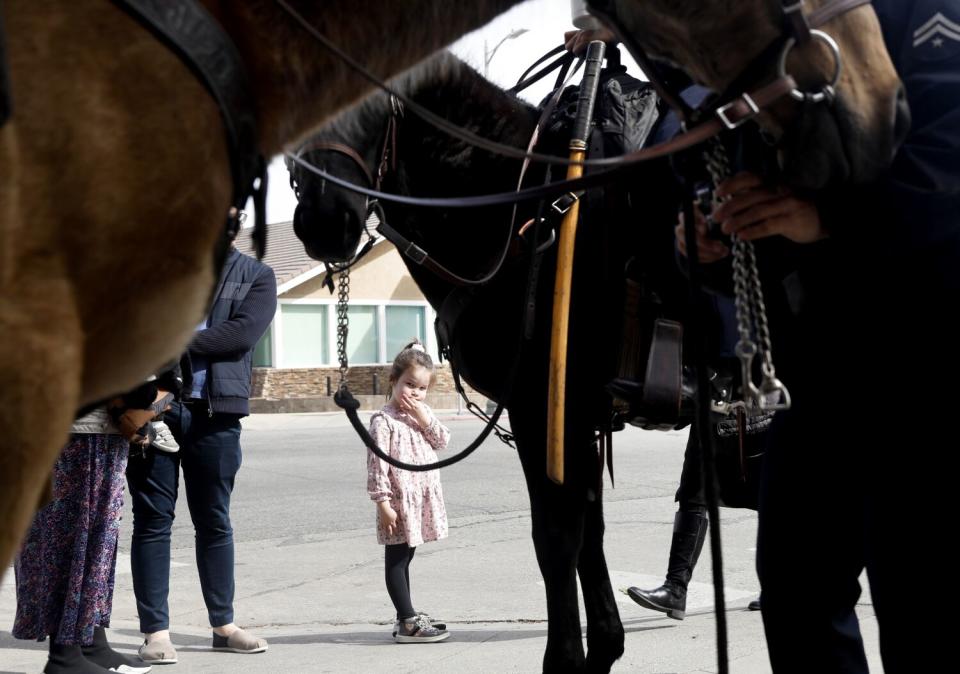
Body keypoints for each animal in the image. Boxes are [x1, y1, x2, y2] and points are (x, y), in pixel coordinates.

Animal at [286, 53, 688, 672]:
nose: (326, 218)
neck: (522, 215)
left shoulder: (544, 410)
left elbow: (557, 538)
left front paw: (565, 658)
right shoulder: (576, 419)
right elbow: (588, 531)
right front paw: (604, 645)